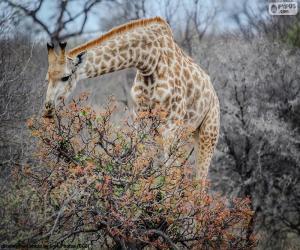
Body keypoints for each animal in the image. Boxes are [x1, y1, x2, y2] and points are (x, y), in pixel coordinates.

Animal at [42, 16, 220, 180]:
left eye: (65, 77)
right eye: (47, 78)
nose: (47, 109)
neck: (149, 62)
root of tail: (213, 92)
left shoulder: (171, 125)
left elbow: (170, 175)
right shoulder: (139, 120)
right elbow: (138, 163)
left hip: (208, 133)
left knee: (199, 180)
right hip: (185, 133)